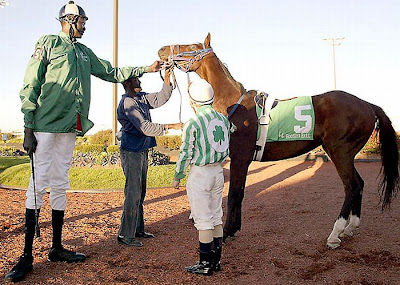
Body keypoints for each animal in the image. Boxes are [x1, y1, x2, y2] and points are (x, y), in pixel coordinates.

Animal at [158, 32, 398, 246]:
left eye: (191, 45)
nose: (162, 50)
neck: (234, 104)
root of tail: (368, 105)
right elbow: (240, 192)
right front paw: (233, 229)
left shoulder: (240, 157)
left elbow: (234, 193)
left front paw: (226, 232)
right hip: (345, 153)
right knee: (359, 184)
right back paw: (350, 227)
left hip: (340, 152)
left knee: (352, 186)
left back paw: (335, 233)